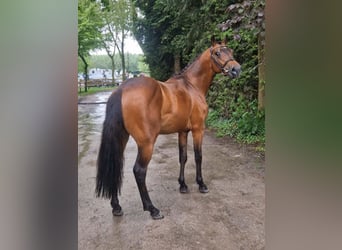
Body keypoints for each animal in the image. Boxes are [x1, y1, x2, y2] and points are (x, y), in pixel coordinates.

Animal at [95, 36, 240, 220]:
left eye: (231, 51)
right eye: (217, 53)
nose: (236, 69)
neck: (192, 86)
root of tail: (121, 89)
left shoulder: (183, 131)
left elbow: (183, 157)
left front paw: (183, 185)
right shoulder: (198, 129)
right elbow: (198, 156)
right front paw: (201, 184)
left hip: (122, 138)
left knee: (116, 166)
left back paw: (116, 206)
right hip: (146, 144)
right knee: (139, 171)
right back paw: (152, 209)